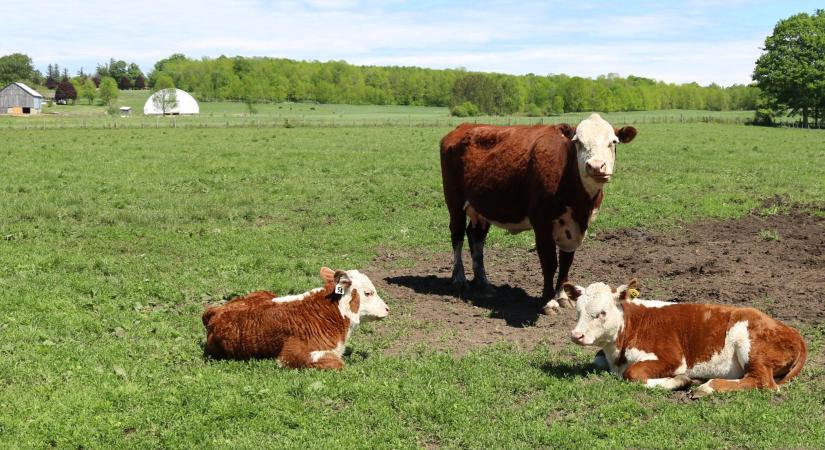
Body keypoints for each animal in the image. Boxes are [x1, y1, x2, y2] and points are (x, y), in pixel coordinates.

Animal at [438, 112, 636, 312]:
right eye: (577, 142)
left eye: (613, 142)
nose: (596, 166)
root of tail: (462, 127)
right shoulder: (542, 223)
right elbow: (549, 261)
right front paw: (548, 300)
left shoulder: (574, 229)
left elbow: (566, 262)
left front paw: (562, 296)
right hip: (454, 202)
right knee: (457, 236)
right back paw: (459, 279)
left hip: (482, 208)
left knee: (475, 237)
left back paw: (484, 283)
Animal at [564, 282, 808, 398]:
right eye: (578, 311)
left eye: (602, 313)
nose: (576, 335)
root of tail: (791, 330)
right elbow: (598, 360)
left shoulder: (673, 358)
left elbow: (633, 374)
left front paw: (680, 380)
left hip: (749, 343)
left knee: (763, 382)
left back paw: (706, 387)